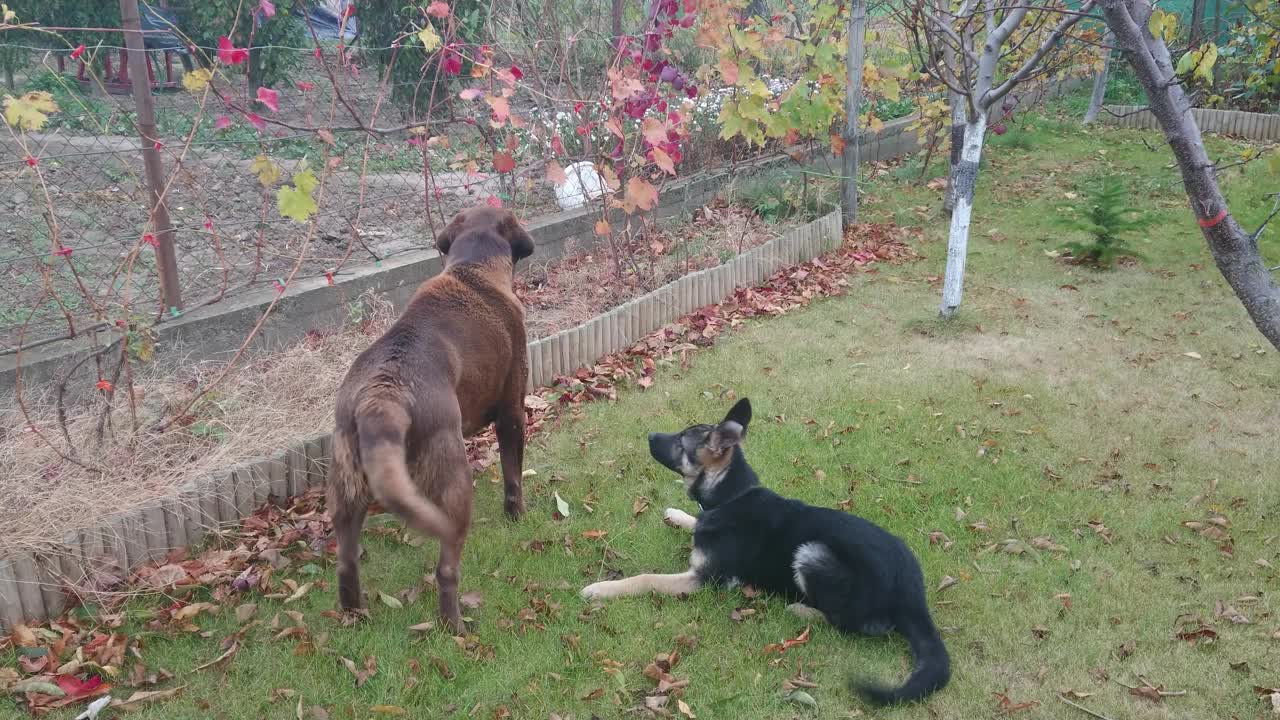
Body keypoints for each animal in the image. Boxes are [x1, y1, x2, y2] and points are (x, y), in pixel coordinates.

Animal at [330, 206, 535, 627]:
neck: (474, 269)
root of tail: (382, 396)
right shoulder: (512, 412)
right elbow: (513, 477)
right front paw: (517, 516)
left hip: (347, 490)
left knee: (346, 563)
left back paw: (356, 614)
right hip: (454, 482)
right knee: (446, 569)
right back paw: (454, 626)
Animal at [583, 394, 952, 702]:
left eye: (680, 441)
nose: (648, 435)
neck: (731, 495)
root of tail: (912, 594)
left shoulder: (704, 579)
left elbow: (645, 578)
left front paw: (601, 588)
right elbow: (694, 520)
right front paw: (677, 514)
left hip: (812, 554)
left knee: (853, 624)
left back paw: (802, 610)